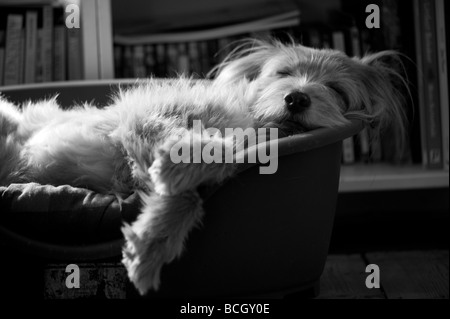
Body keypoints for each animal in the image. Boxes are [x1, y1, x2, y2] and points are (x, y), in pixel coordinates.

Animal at [0, 39, 408, 296]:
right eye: (282, 74)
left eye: (336, 90)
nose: (296, 98)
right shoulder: (144, 118)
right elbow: (201, 154)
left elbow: (187, 193)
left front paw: (150, 242)